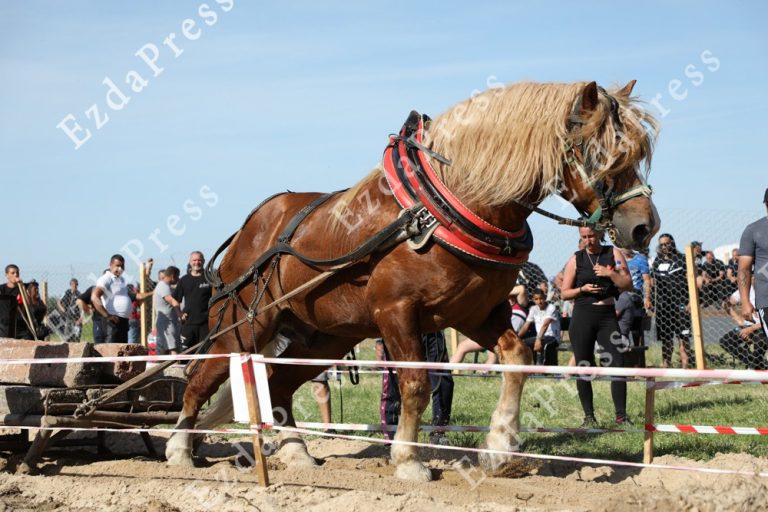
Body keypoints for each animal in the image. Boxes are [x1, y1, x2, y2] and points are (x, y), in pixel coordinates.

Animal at [166, 80, 660, 480]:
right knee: (199, 378)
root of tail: (252, 227)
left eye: (638, 154)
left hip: (325, 336)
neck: (442, 208)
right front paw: (408, 460)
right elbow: (417, 384)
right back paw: (179, 449)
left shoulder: (477, 313)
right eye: (604, 153)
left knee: (278, 383)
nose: (644, 227)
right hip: (244, 325)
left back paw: (296, 452)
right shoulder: (397, 313)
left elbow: (518, 357)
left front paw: (500, 449)